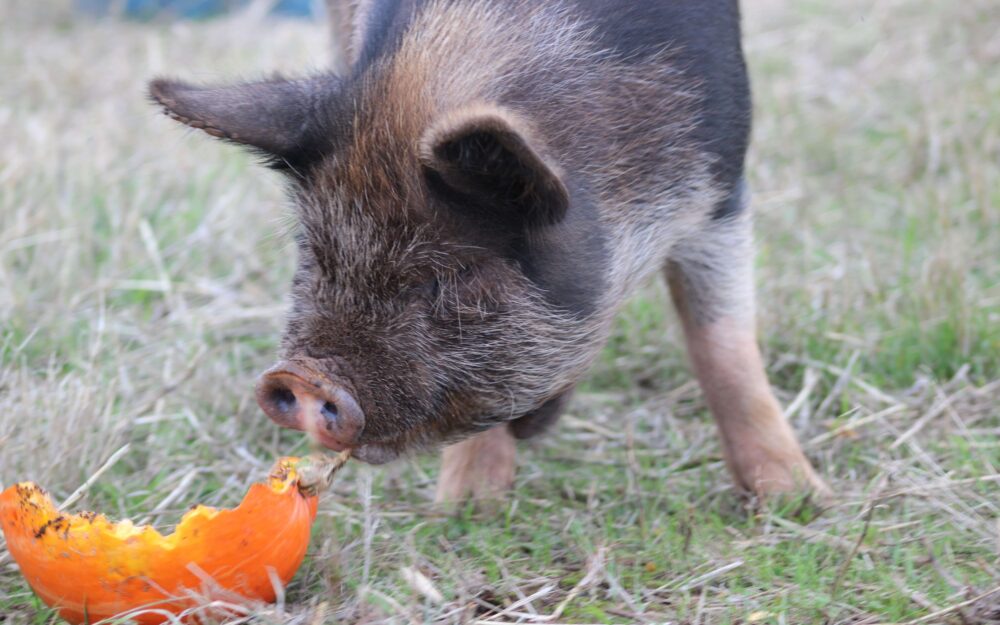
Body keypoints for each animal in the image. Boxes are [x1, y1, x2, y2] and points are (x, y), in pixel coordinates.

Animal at [150, 0, 828, 501]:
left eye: (453, 274)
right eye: (319, 254)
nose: (303, 378)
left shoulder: (720, 187)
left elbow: (721, 342)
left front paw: (794, 500)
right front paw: (468, 506)